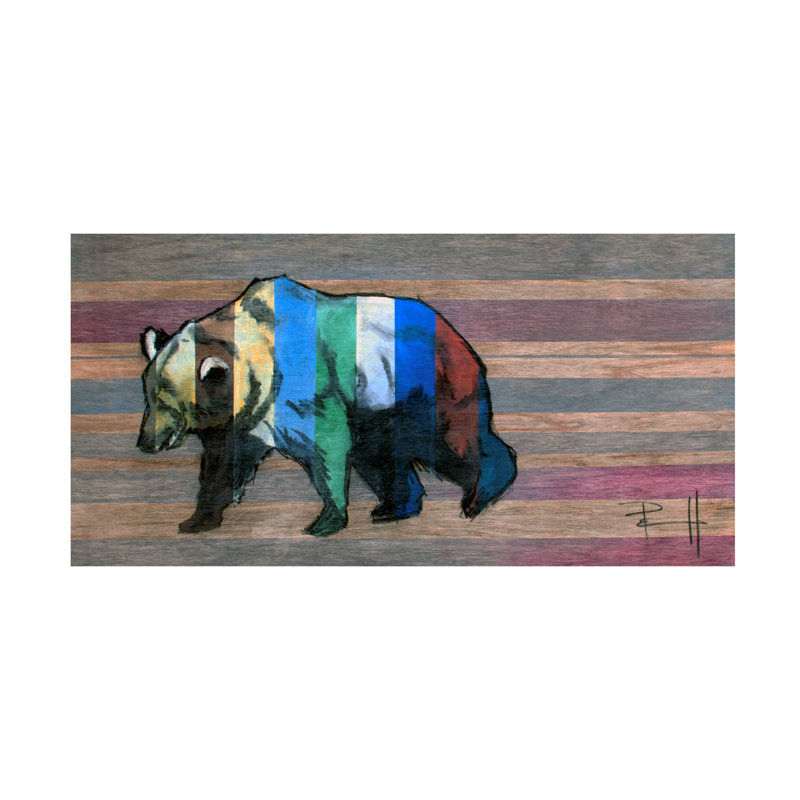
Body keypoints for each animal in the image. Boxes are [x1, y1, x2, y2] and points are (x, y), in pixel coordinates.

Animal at [137, 276, 517, 537]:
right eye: (149, 393)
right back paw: (392, 509)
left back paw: (480, 497)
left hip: (423, 381)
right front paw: (196, 519)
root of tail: (452, 329)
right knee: (379, 454)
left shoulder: (303, 384)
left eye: (167, 398)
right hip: (377, 405)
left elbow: (325, 446)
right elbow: (223, 463)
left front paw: (323, 522)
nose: (145, 442)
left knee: (451, 439)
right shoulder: (246, 418)